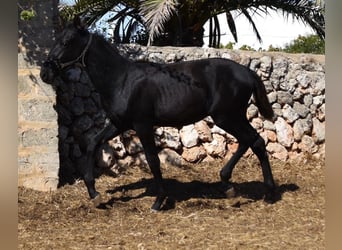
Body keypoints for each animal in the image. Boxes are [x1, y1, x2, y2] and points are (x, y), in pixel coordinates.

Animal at [40, 16, 278, 210]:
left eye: (67, 41)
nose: (45, 72)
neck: (122, 81)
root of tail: (247, 72)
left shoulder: (142, 124)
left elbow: (153, 160)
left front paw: (158, 201)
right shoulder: (119, 123)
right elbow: (92, 143)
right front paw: (94, 193)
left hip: (227, 117)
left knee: (256, 142)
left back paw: (268, 193)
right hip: (232, 117)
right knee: (250, 141)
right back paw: (229, 184)